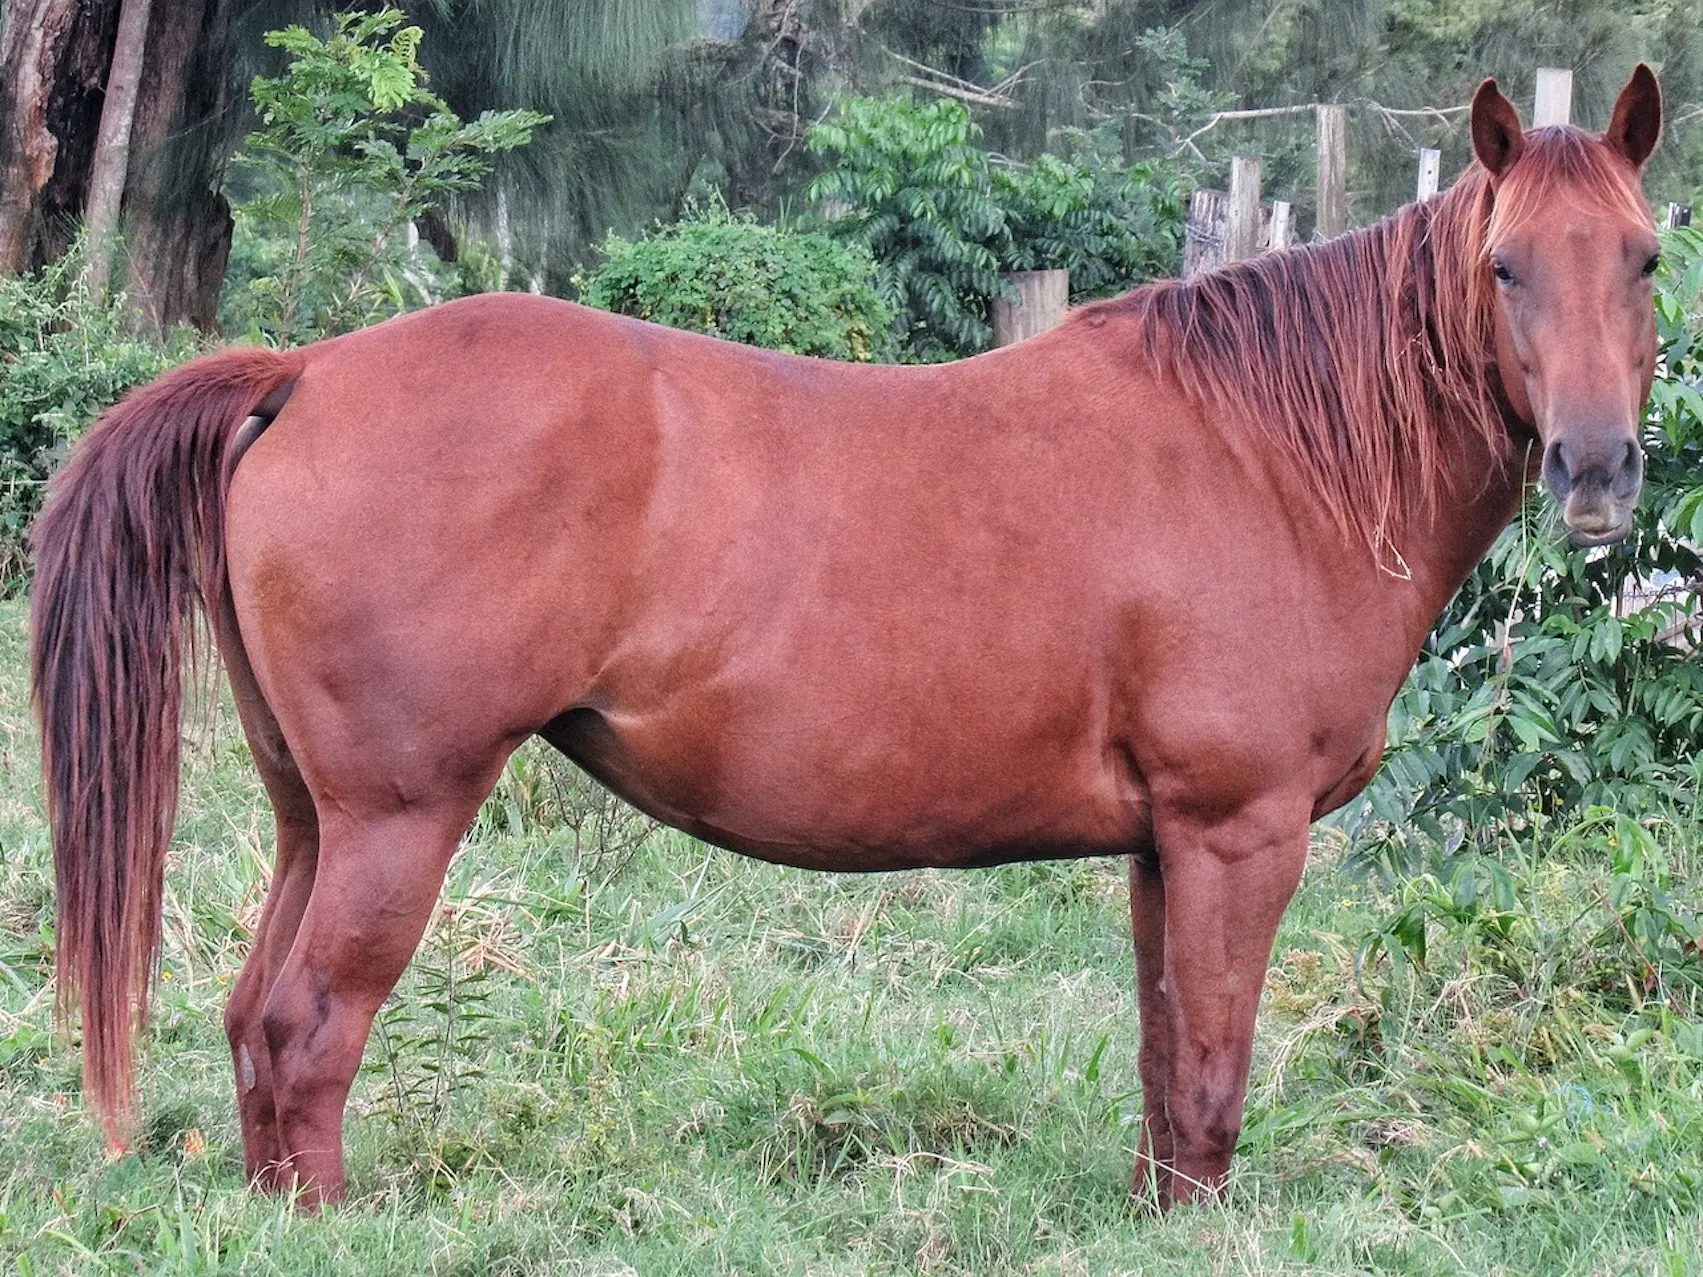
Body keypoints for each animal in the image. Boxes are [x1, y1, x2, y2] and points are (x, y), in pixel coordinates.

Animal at [33, 69, 1662, 1212]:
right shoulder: (1234, 831)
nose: (1593, 472)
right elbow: (1208, 1069)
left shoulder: (1165, 847)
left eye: (1643, 259)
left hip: (313, 815)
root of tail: (304, 371)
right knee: (309, 1026)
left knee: (255, 1022)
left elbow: (1164, 1067)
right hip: (397, 815)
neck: (1266, 455)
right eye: (1505, 267)